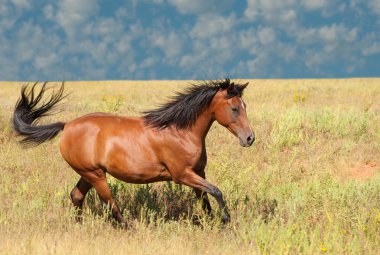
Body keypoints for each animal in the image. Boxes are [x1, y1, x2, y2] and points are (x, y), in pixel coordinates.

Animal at [12, 79, 255, 227]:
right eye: (234, 108)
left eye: (245, 106)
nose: (249, 138)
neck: (180, 131)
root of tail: (67, 125)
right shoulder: (182, 175)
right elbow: (216, 191)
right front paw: (225, 220)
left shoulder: (198, 173)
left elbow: (205, 198)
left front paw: (211, 221)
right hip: (95, 174)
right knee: (108, 200)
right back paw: (129, 226)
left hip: (88, 173)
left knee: (77, 195)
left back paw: (79, 225)